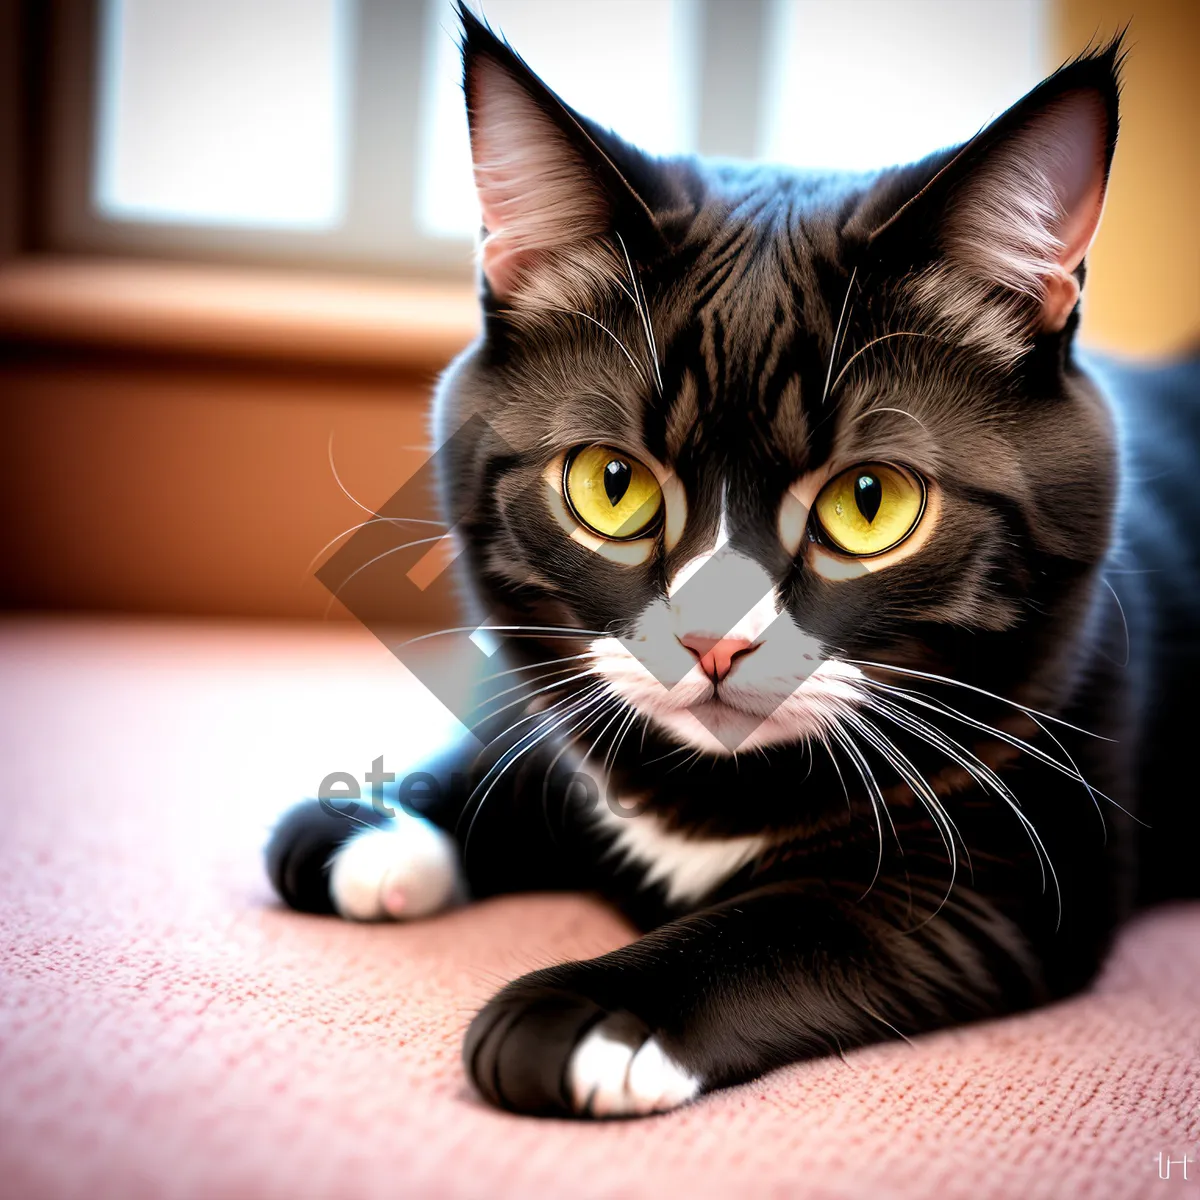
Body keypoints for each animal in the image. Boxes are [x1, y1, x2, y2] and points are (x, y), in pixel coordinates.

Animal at [265, 4, 1200, 1118]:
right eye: (611, 483)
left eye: (870, 502)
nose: (712, 642)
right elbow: (532, 746)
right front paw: (374, 827)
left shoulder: (1018, 865)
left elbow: (800, 922)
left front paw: (595, 1011)